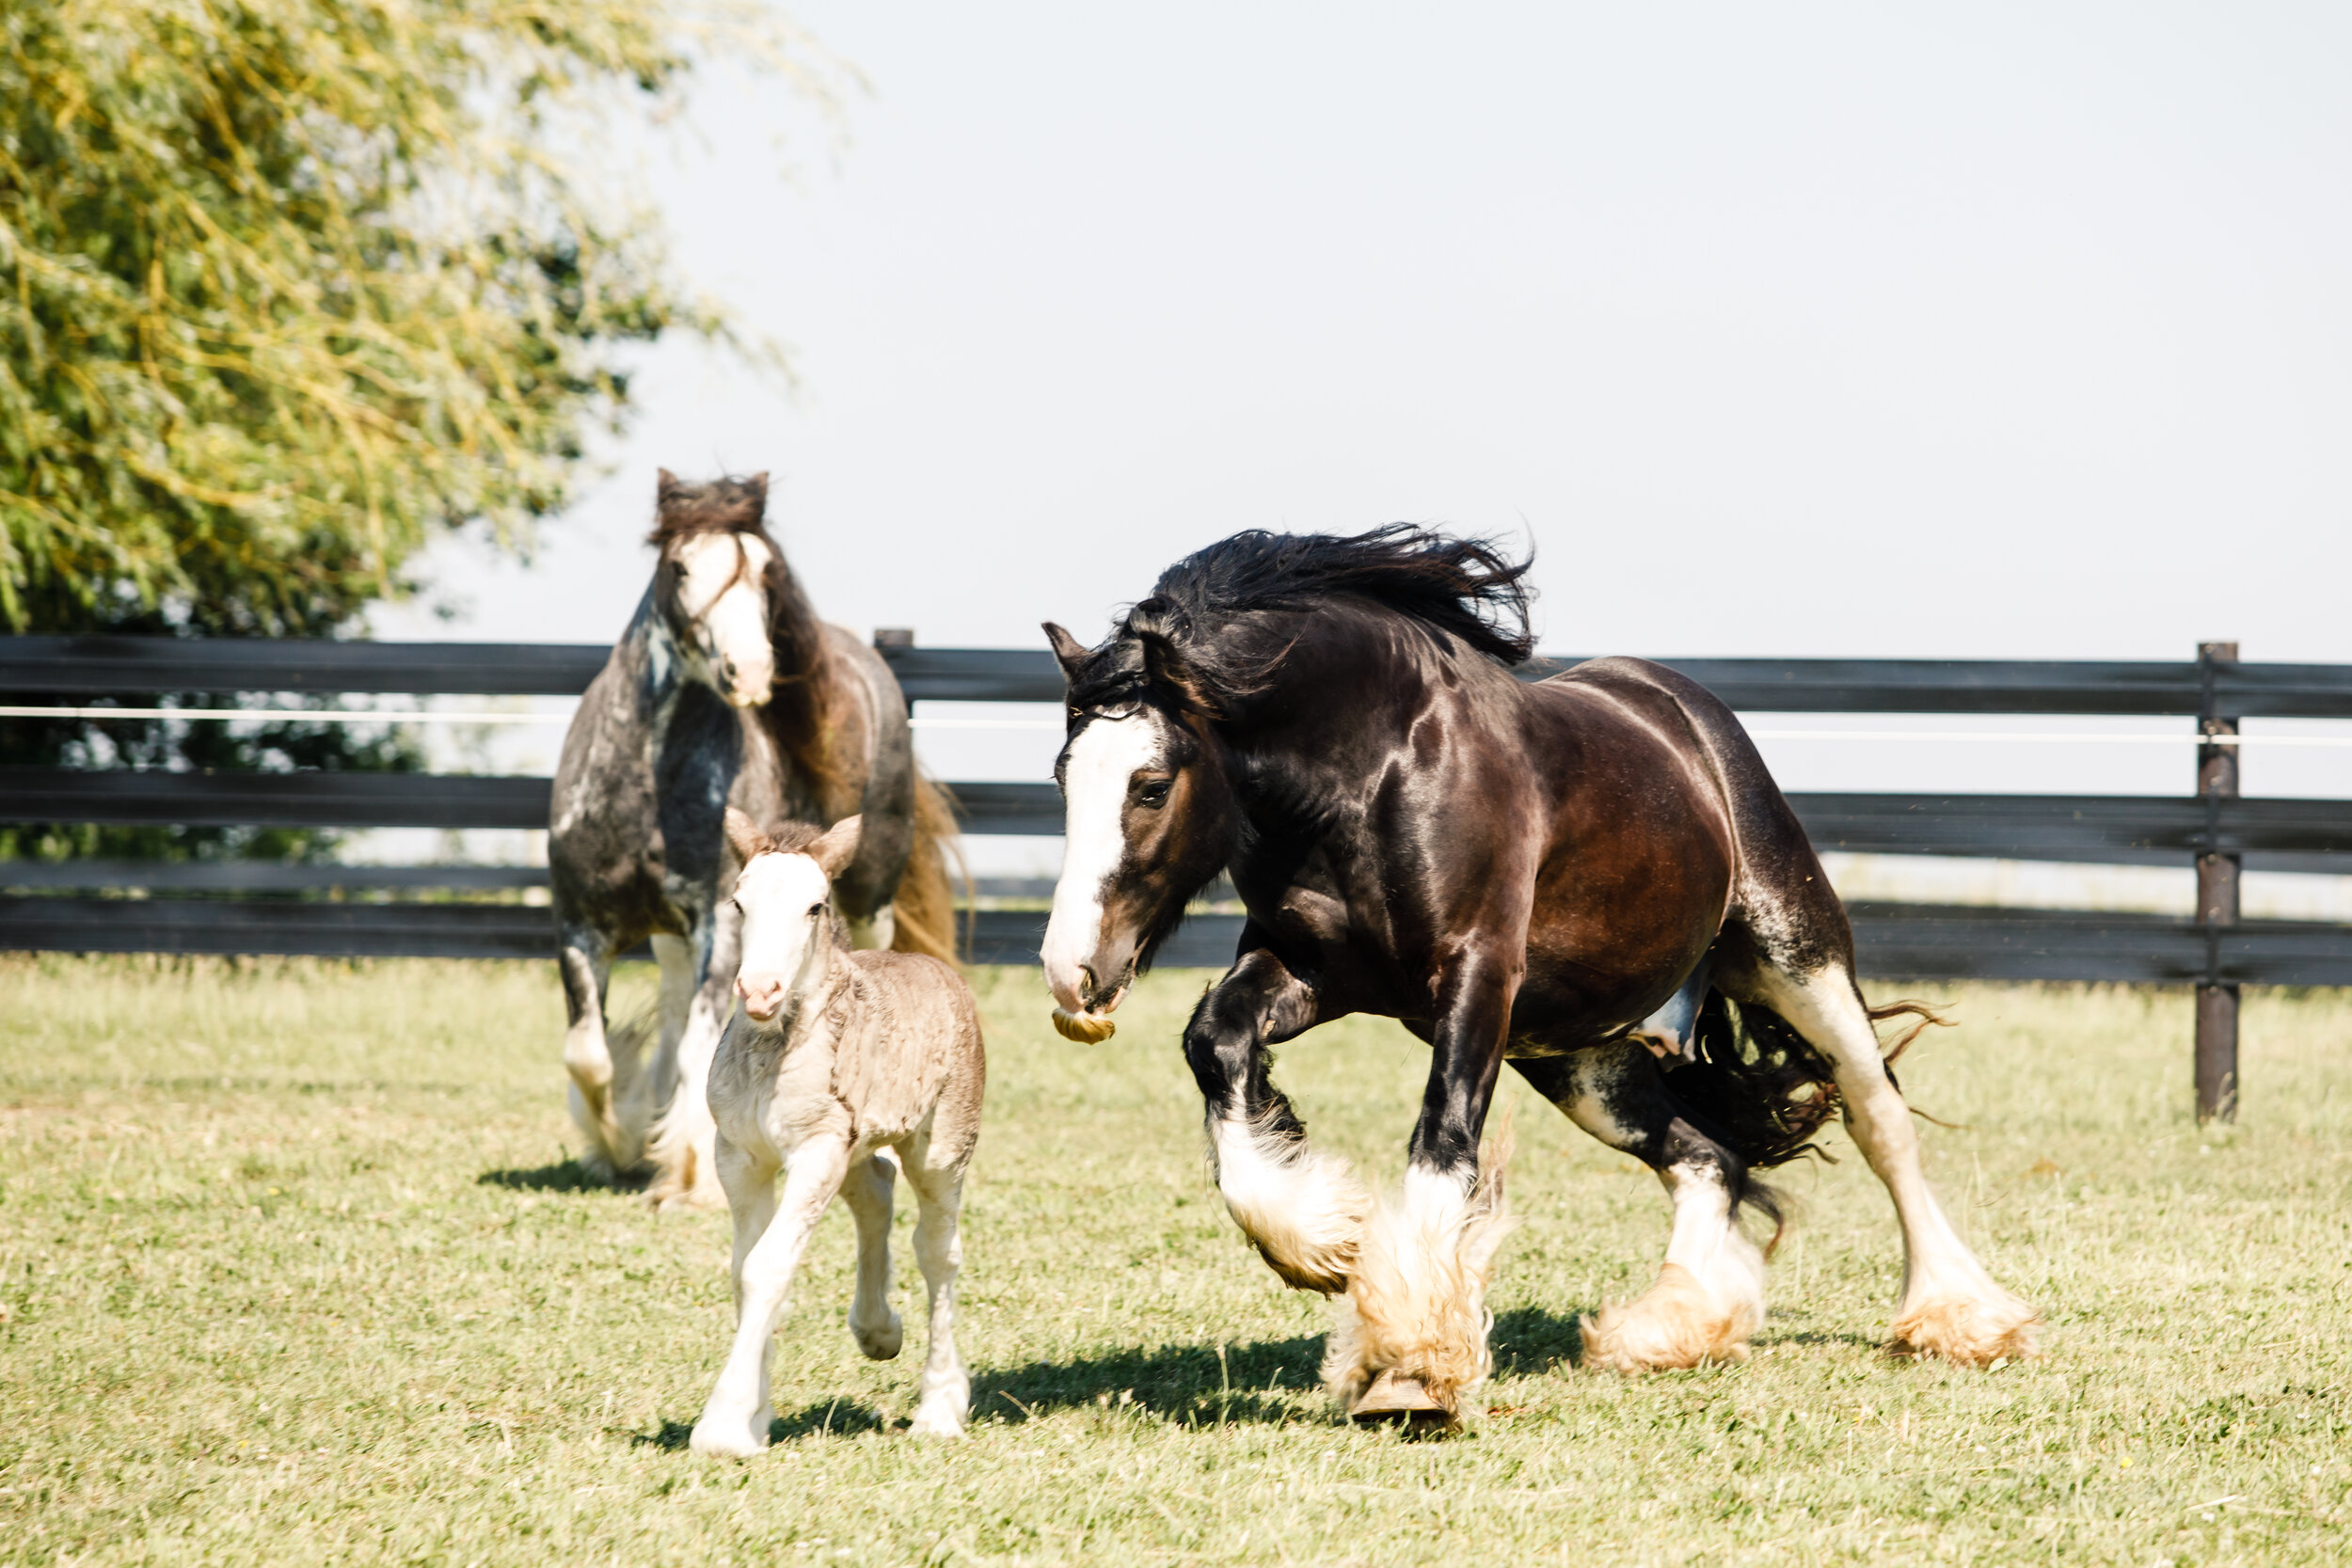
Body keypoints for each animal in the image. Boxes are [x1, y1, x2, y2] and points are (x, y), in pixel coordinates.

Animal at [550, 470, 959, 1210]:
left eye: (765, 571)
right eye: (681, 567)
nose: (750, 671)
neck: (647, 780)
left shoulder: (719, 928)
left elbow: (698, 1041)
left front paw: (688, 1174)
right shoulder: (580, 925)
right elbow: (590, 1055)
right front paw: (620, 1141)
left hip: (872, 899)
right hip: (670, 937)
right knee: (670, 1007)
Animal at [690, 809, 982, 1454]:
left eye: (815, 906)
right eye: (739, 902)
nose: (760, 991)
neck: (774, 1048)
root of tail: (940, 971)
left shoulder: (817, 1149)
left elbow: (767, 1267)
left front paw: (724, 1424)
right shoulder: (738, 1155)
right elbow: (742, 1271)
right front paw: (755, 1415)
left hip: (941, 1145)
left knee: (938, 1250)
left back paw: (939, 1406)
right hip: (855, 1144)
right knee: (874, 1189)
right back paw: (879, 1330)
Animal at [1037, 525, 2038, 1429]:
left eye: (1151, 784)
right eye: (1062, 778)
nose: (1071, 974)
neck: (1379, 768)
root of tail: (1688, 715)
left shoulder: (1477, 976)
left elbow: (1443, 1139)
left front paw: (1409, 1370)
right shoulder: (1310, 972)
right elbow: (1217, 1043)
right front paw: (1321, 1245)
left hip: (1794, 957)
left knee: (1879, 1121)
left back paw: (1957, 1317)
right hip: (1578, 1052)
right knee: (1707, 1157)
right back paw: (1672, 1328)